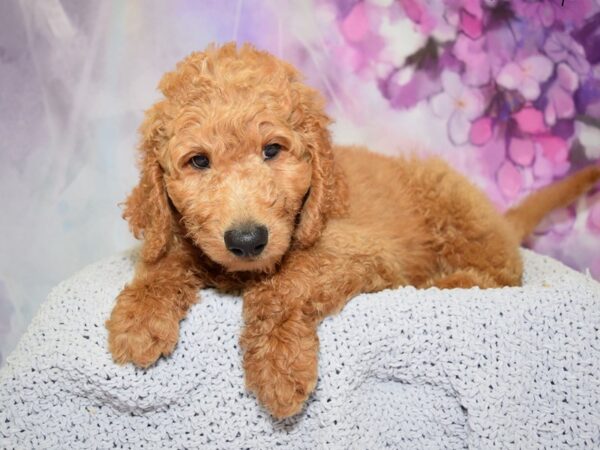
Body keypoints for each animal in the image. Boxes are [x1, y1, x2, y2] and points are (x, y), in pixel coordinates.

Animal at [108, 42, 600, 418]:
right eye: (198, 161)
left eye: (272, 150)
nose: (247, 240)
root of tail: (498, 217)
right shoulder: (187, 239)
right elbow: (165, 260)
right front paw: (139, 315)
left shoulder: (362, 252)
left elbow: (283, 285)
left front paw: (279, 367)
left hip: (455, 209)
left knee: (499, 269)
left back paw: (450, 281)